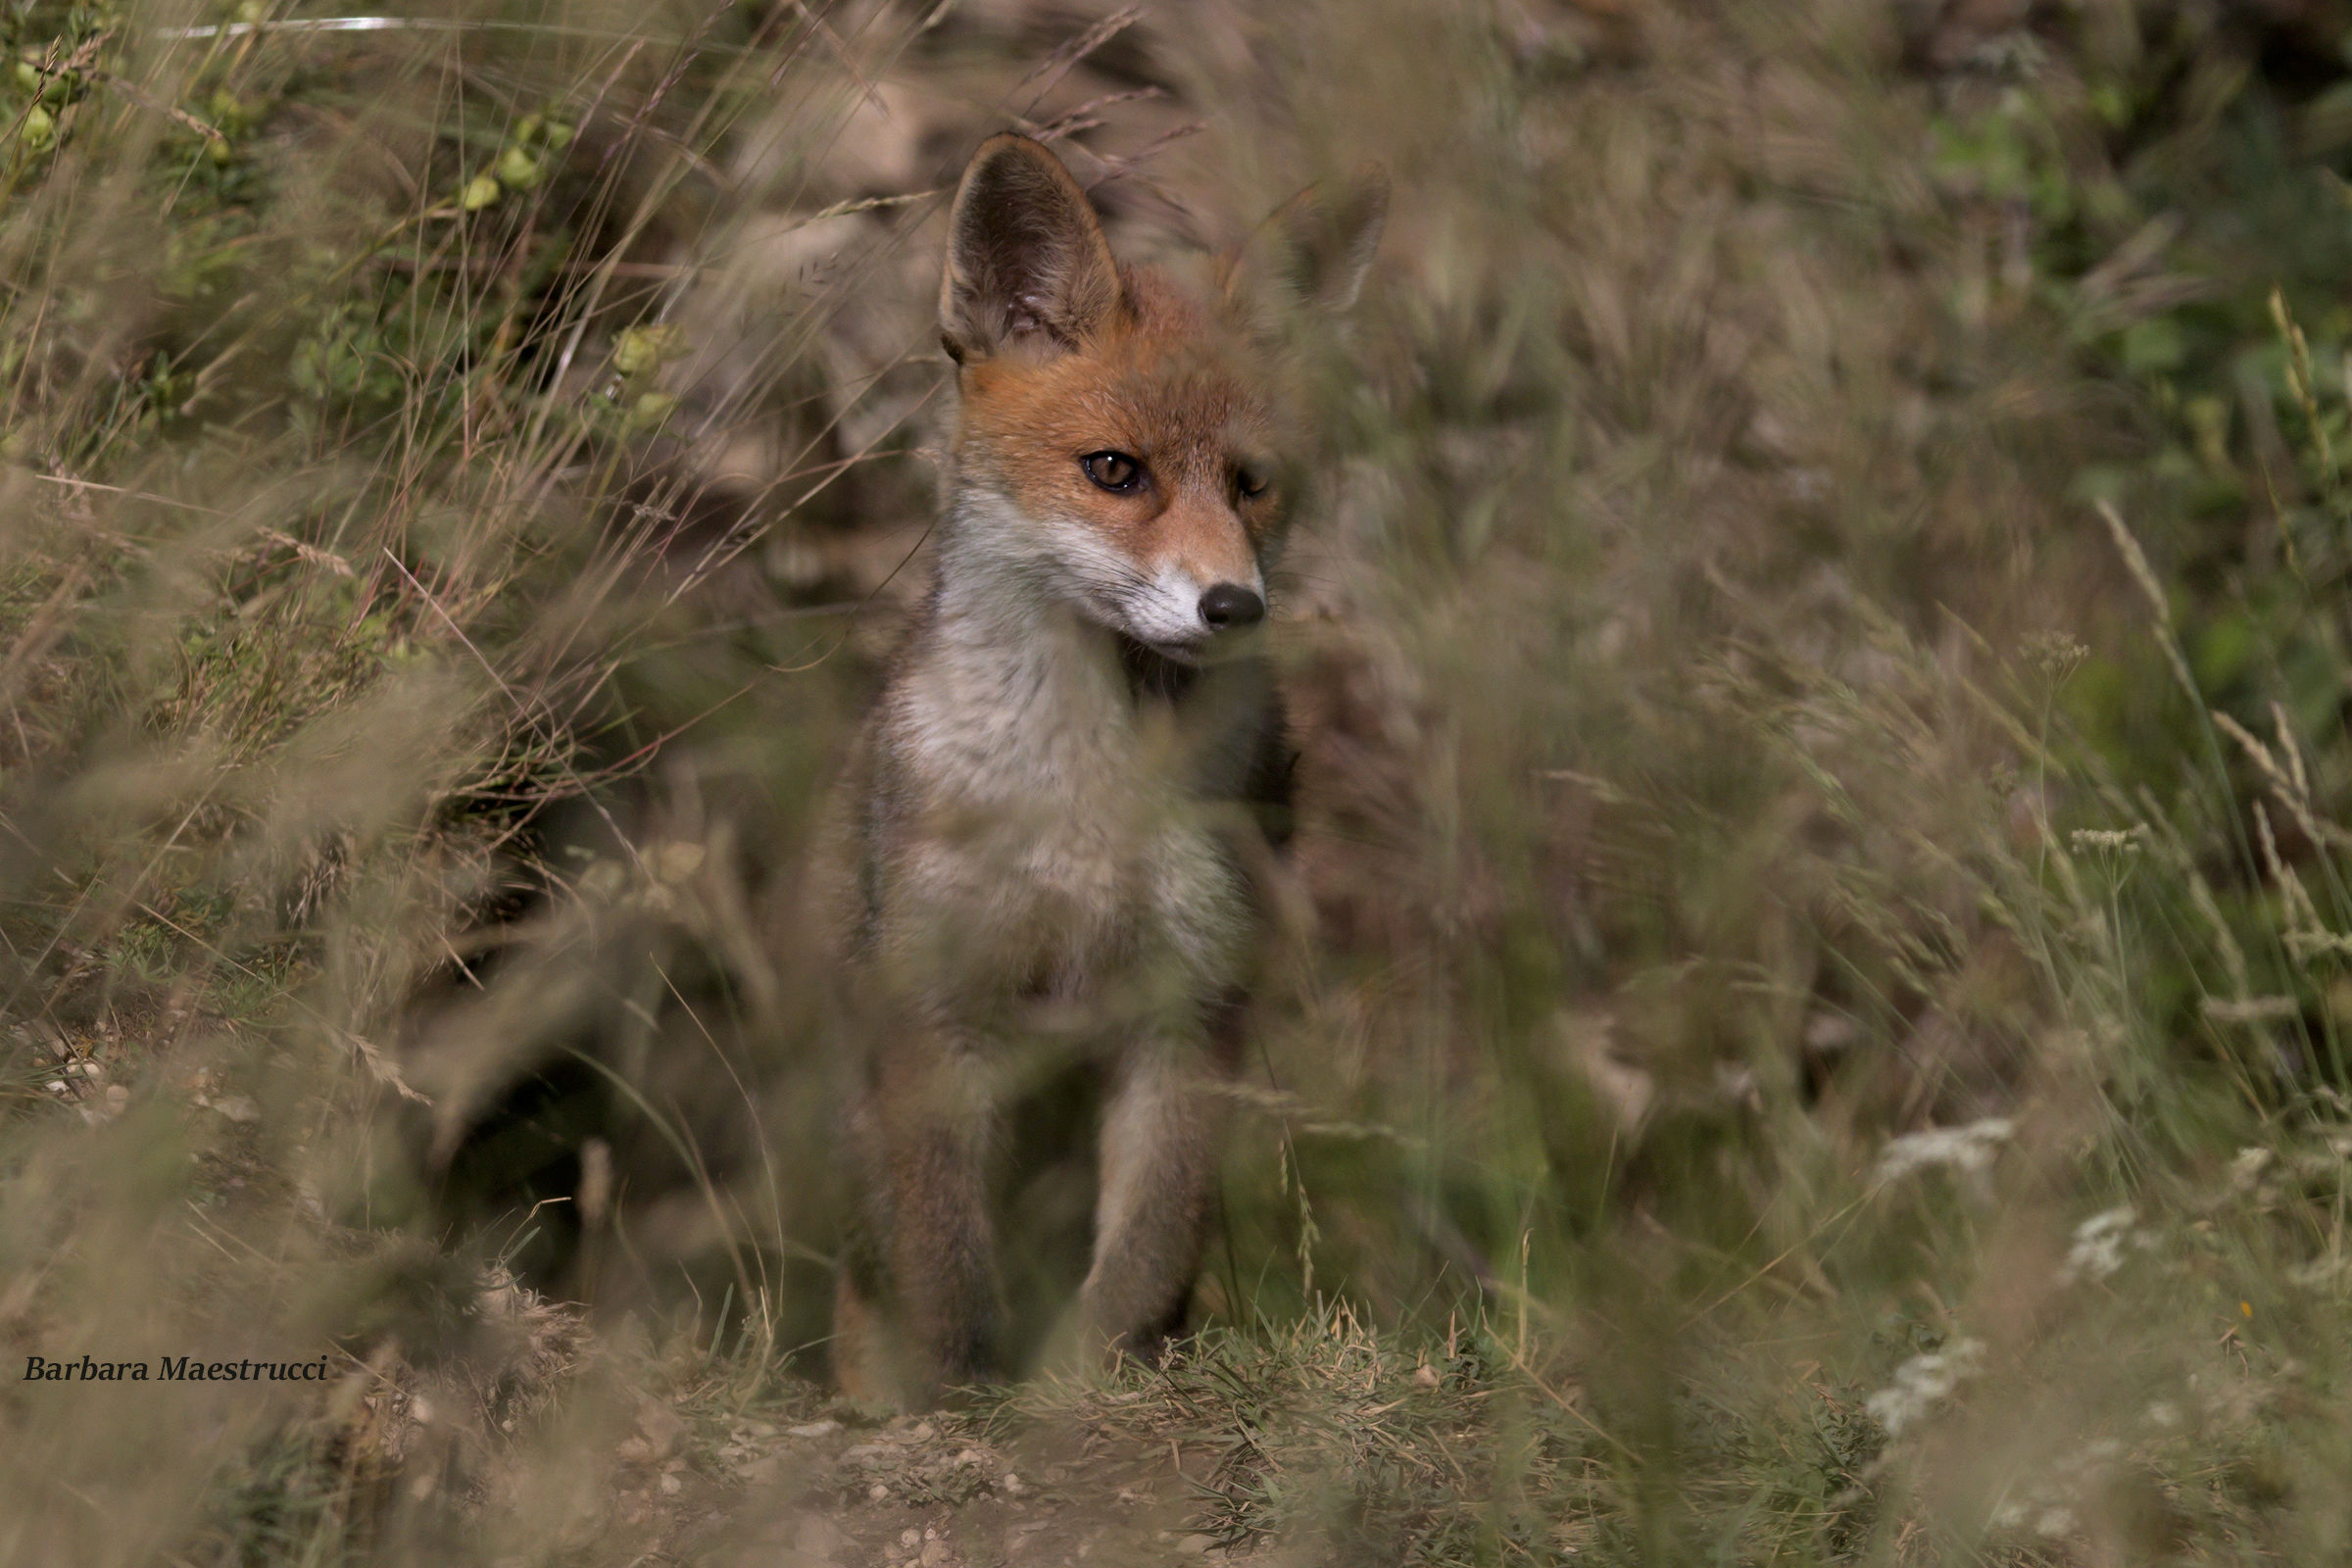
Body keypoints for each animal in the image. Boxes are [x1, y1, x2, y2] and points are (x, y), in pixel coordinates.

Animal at [820, 132, 1385, 1408]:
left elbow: (1141, 1258)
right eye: (1115, 471)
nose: (1233, 605)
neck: (1088, 799)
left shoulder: (1193, 1004)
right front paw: (959, 1402)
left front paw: (1078, 1396)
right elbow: (946, 1270)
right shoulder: (936, 1001)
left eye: (1253, 482)